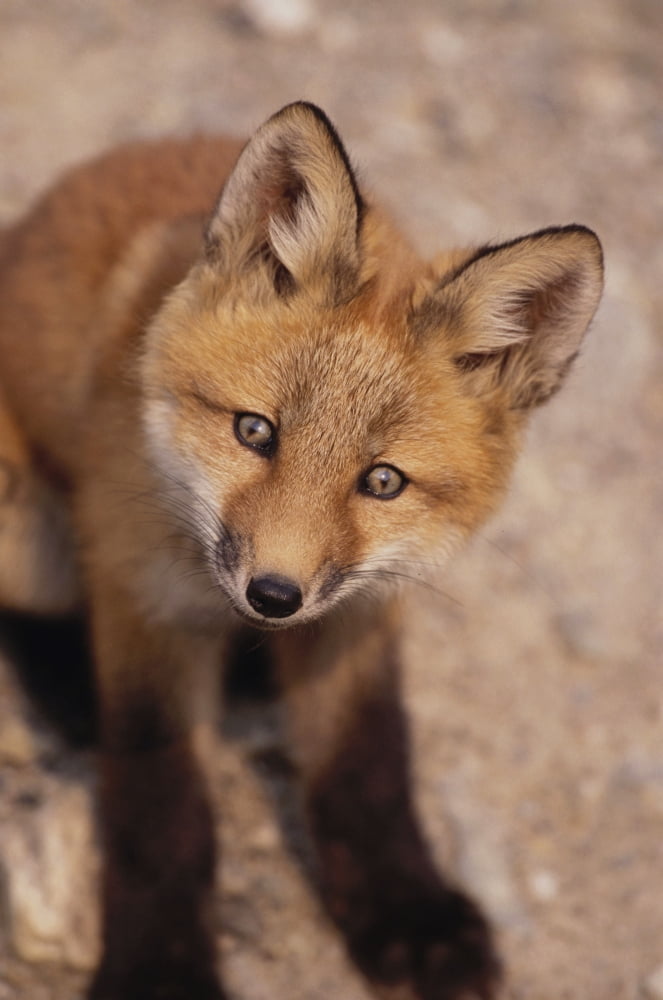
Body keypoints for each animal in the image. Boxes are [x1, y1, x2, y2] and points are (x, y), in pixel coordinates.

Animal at [0, 101, 603, 1000]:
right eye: (255, 432)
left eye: (382, 482)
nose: (273, 597)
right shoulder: (141, 594)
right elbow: (159, 804)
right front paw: (161, 968)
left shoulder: (361, 606)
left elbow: (367, 765)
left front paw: (409, 916)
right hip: (25, 525)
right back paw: (73, 688)